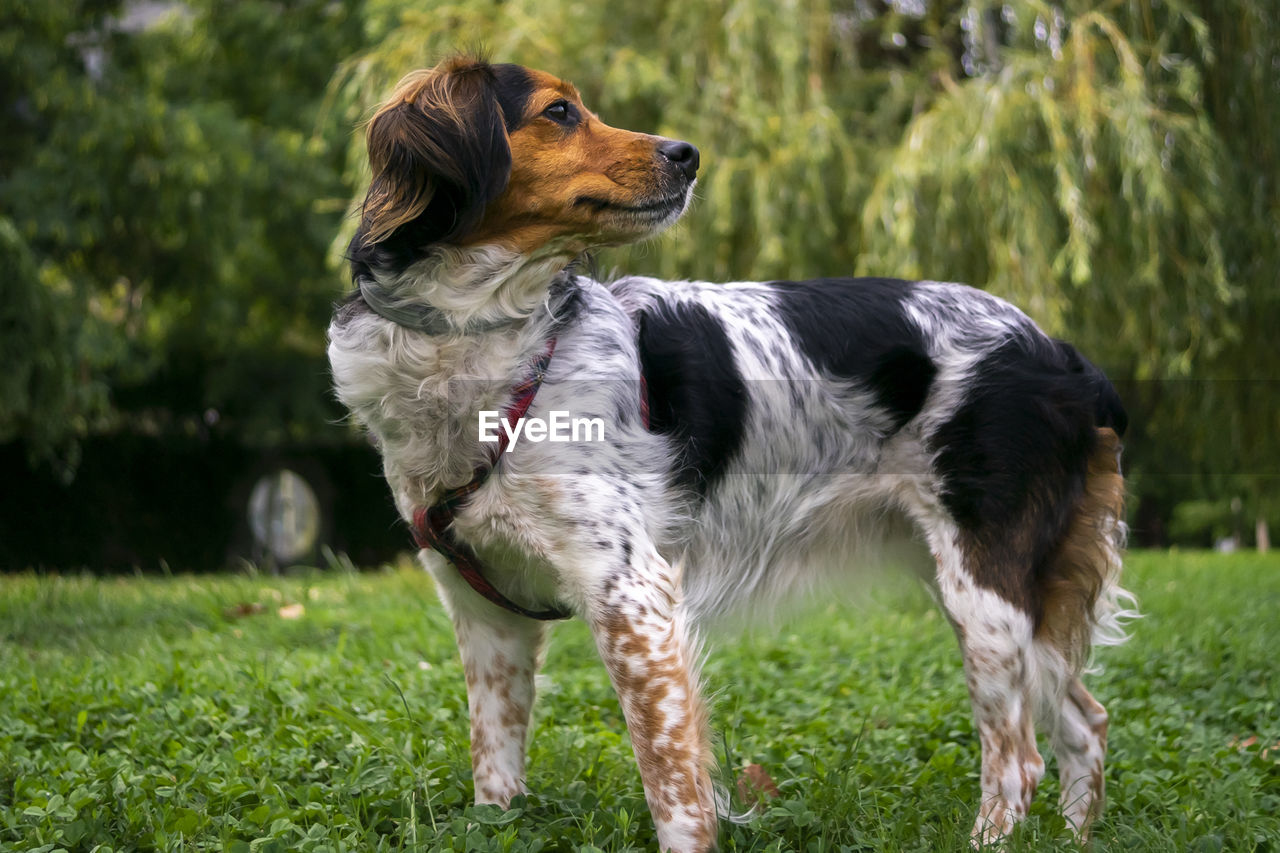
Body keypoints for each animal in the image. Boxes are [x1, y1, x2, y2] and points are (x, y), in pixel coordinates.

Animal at [325, 56, 1136, 845]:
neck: (473, 343)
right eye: (559, 112)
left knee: (1020, 760)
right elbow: (495, 774)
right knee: (1085, 720)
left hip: (985, 589)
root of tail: (1059, 350)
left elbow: (675, 793)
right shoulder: (485, 610)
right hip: (993, 591)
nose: (687, 154)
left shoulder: (633, 594)